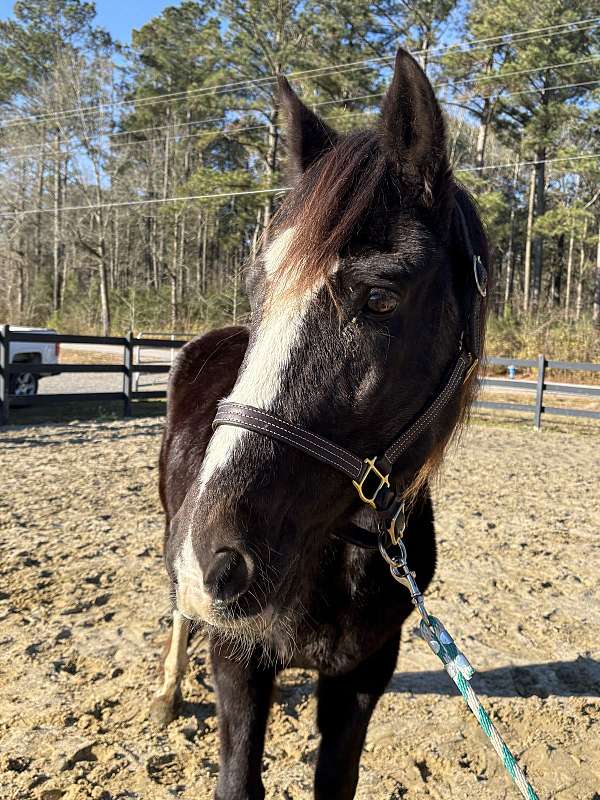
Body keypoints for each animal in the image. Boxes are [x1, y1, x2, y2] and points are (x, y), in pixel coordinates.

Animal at [150, 50, 488, 800]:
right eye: (259, 288)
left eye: (380, 298)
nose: (213, 559)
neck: (339, 550)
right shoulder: (236, 661)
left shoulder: (363, 675)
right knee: (179, 611)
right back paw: (164, 692)